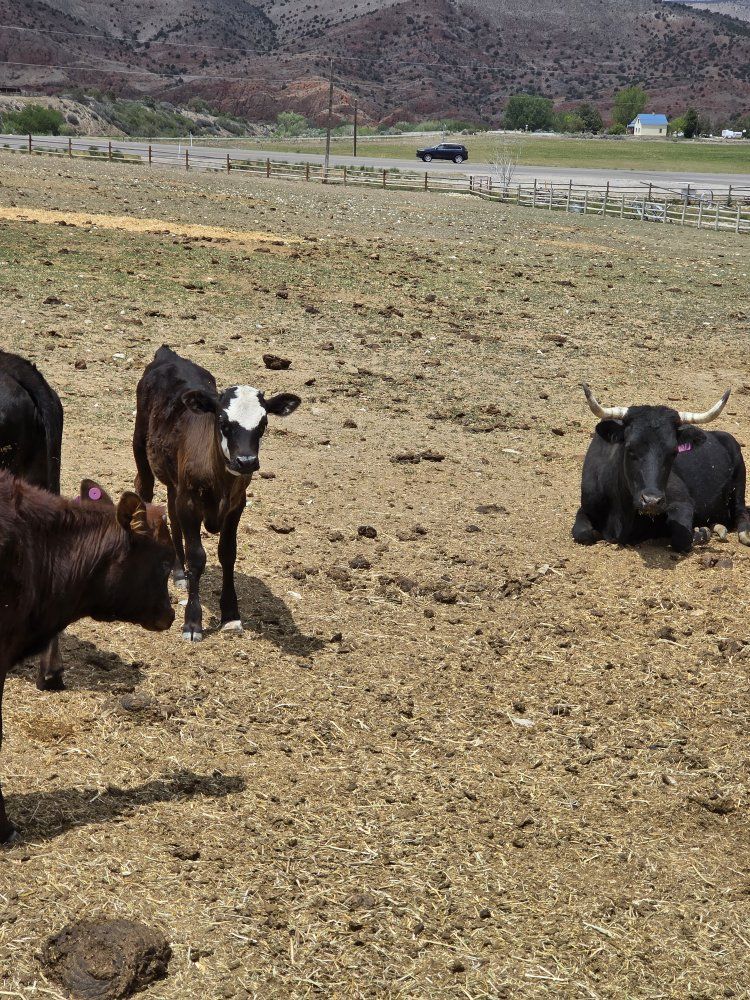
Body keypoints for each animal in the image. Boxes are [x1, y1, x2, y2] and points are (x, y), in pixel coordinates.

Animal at [133, 346, 301, 642]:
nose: (245, 461)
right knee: (144, 489)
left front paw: (231, 615)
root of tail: (167, 355)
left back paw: (179, 572)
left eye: (263, 423)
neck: (219, 479)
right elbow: (198, 556)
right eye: (223, 420)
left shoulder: (235, 505)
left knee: (172, 514)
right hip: (141, 445)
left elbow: (227, 553)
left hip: (175, 481)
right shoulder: (190, 503)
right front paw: (192, 622)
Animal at [573, 384, 750, 552]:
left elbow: (681, 538)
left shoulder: (682, 502)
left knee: (741, 512)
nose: (652, 501)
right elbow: (582, 534)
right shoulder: (586, 507)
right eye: (630, 448)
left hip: (739, 480)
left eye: (674, 452)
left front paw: (700, 532)